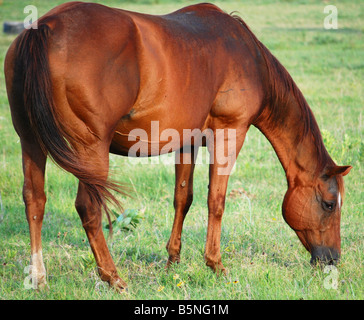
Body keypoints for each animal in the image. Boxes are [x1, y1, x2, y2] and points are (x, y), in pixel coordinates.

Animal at [4, 1, 352, 292]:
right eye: (329, 204)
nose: (332, 260)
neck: (248, 56)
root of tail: (45, 29)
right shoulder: (230, 132)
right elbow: (216, 200)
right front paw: (215, 264)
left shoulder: (189, 139)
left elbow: (183, 198)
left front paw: (173, 263)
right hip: (90, 149)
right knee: (88, 208)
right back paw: (114, 278)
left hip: (30, 141)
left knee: (35, 201)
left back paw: (39, 278)